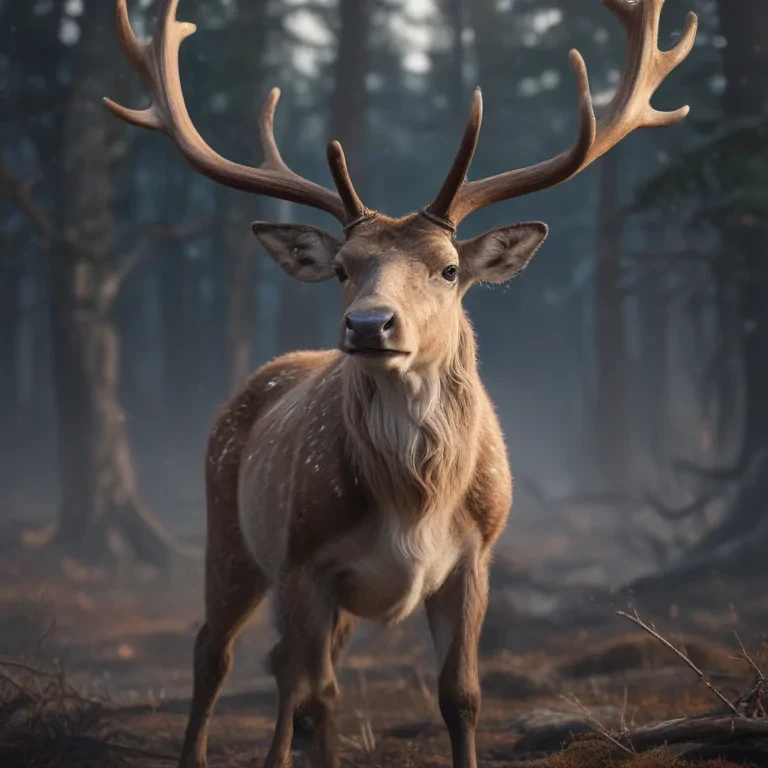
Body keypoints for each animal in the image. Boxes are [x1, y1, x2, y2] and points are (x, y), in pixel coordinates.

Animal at [105, 1, 697, 766]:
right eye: (341, 268)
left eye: (449, 268)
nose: (368, 324)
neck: (416, 503)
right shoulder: (305, 560)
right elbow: (319, 696)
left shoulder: (476, 557)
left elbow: (460, 695)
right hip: (231, 534)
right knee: (221, 653)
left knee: (284, 669)